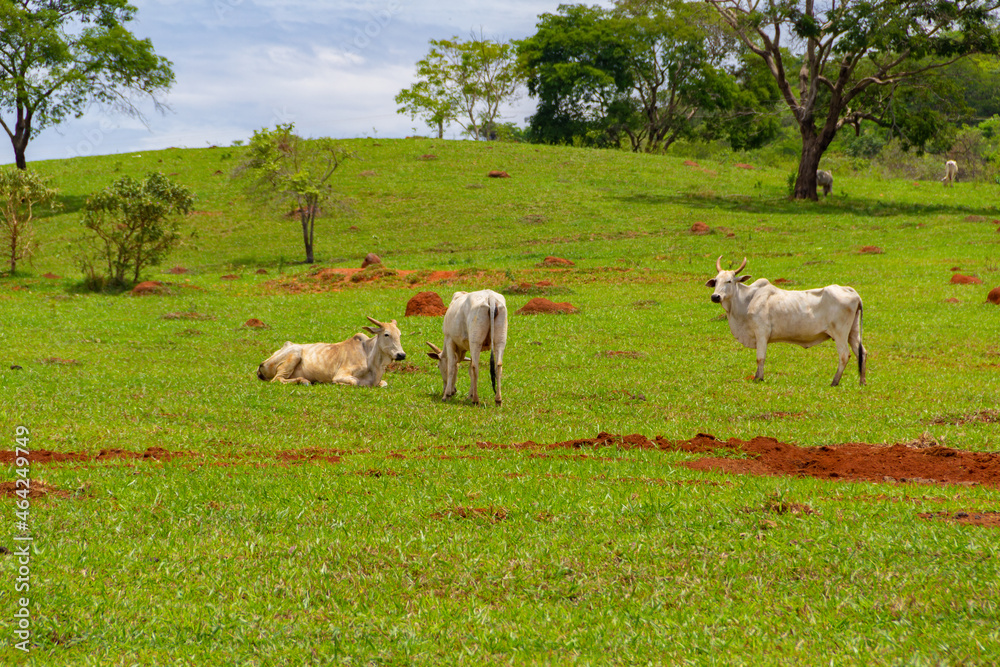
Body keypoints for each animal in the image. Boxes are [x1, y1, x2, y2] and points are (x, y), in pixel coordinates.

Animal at [258, 318, 406, 386]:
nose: (401, 355)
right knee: (277, 379)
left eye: (399, 334)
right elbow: (355, 382)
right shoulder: (341, 374)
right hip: (294, 354)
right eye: (386, 334)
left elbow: (384, 384)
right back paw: (304, 380)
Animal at [704, 260, 868, 388]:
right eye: (716, 281)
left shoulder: (761, 333)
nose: (715, 296)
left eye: (729, 281)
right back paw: (862, 382)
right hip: (853, 332)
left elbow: (760, 357)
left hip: (840, 333)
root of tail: (851, 291)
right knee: (861, 353)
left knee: (844, 355)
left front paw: (758, 378)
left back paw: (834, 382)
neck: (747, 300)